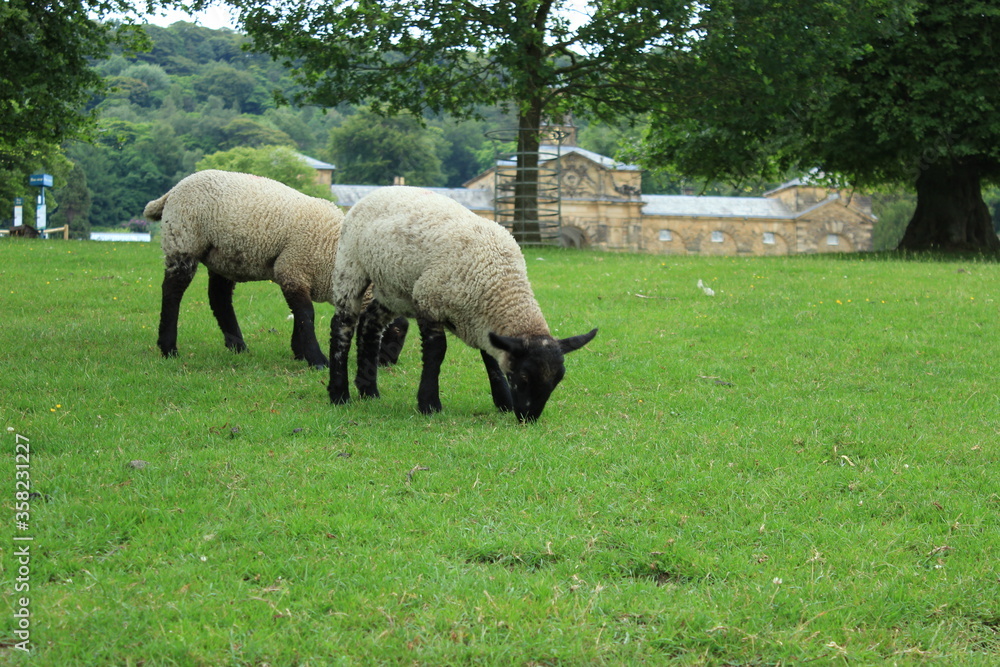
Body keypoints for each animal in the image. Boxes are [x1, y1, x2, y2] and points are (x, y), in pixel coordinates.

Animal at [144, 169, 407, 368]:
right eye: (395, 332)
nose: (388, 363)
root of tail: (173, 190)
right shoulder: (292, 269)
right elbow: (307, 315)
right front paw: (317, 359)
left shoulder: (295, 275)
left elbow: (300, 315)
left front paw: (299, 352)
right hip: (184, 239)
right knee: (172, 292)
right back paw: (168, 347)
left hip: (223, 256)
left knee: (219, 298)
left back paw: (238, 346)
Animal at [327, 185, 597, 422]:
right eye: (523, 376)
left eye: (557, 380)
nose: (529, 417)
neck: (499, 279)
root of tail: (378, 191)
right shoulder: (429, 300)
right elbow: (437, 352)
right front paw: (429, 404)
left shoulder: (479, 319)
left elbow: (490, 357)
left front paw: (503, 401)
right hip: (351, 265)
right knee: (343, 325)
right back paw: (339, 394)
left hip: (393, 288)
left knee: (369, 323)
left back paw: (368, 390)